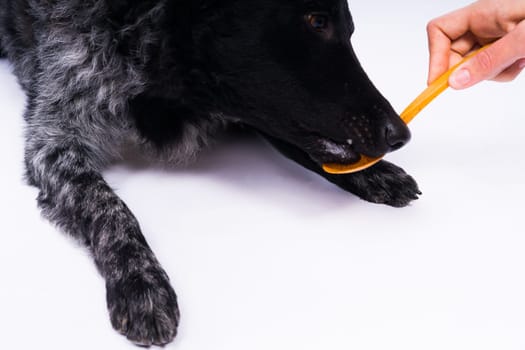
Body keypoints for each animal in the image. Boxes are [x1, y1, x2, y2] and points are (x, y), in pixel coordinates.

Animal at [0, 0, 420, 346]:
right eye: (317, 21)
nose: (401, 134)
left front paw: (378, 174)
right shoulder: (53, 142)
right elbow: (110, 208)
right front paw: (142, 284)